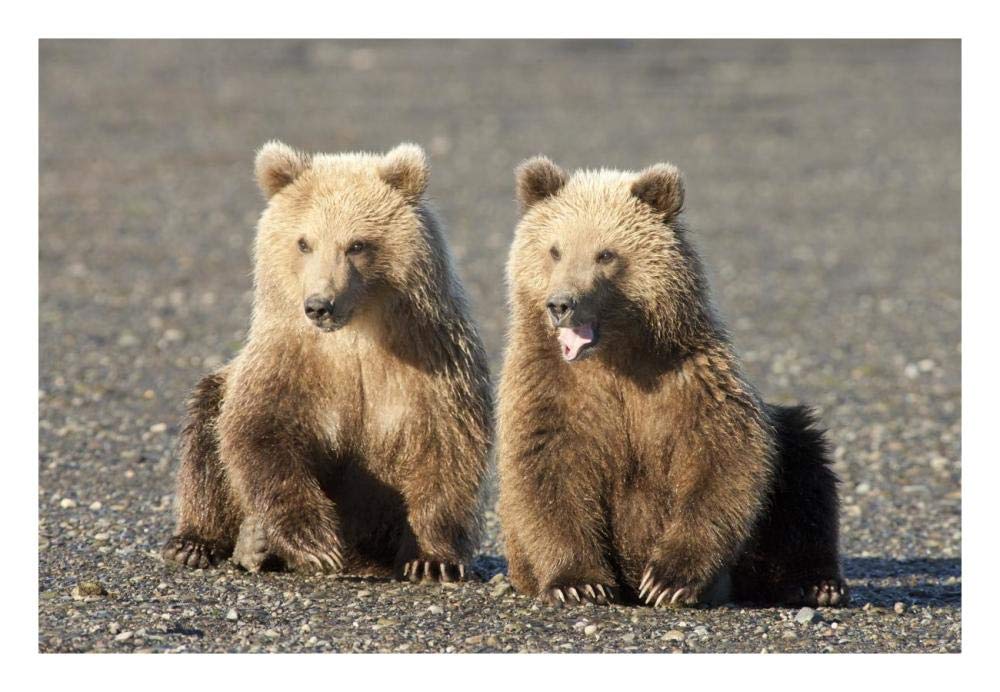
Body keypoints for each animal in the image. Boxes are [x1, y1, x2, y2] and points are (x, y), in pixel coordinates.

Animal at [161, 141, 492, 583]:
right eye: (304, 242)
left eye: (357, 244)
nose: (320, 304)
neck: (357, 332)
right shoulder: (290, 358)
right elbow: (260, 432)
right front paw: (314, 542)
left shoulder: (433, 357)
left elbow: (447, 445)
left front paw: (432, 559)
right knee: (205, 432)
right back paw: (210, 543)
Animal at [496, 156, 847, 608]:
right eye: (554, 250)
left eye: (605, 253)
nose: (561, 303)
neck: (616, 357)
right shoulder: (550, 386)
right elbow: (546, 470)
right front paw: (579, 583)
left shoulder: (688, 377)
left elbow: (724, 459)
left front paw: (667, 579)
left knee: (805, 469)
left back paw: (817, 583)